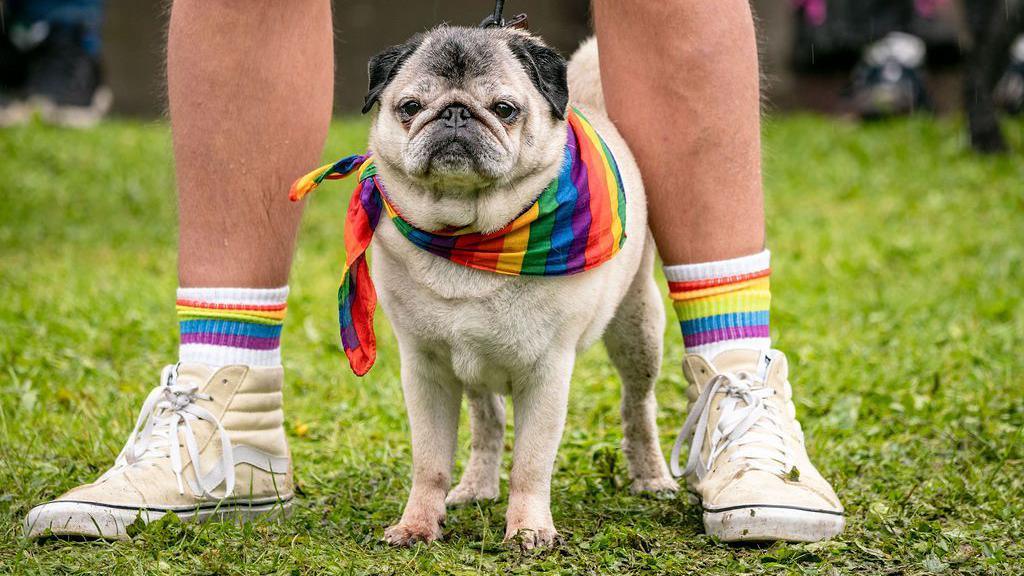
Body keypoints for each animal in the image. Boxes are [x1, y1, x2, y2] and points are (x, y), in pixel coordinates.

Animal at [362, 26, 679, 545]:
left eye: (504, 109)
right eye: (409, 107)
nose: (455, 113)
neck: (468, 236)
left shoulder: (547, 373)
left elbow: (531, 466)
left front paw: (529, 530)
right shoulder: (426, 371)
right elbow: (429, 463)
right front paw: (417, 525)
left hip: (638, 329)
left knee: (638, 406)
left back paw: (651, 477)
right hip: (470, 365)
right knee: (488, 421)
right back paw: (476, 486)